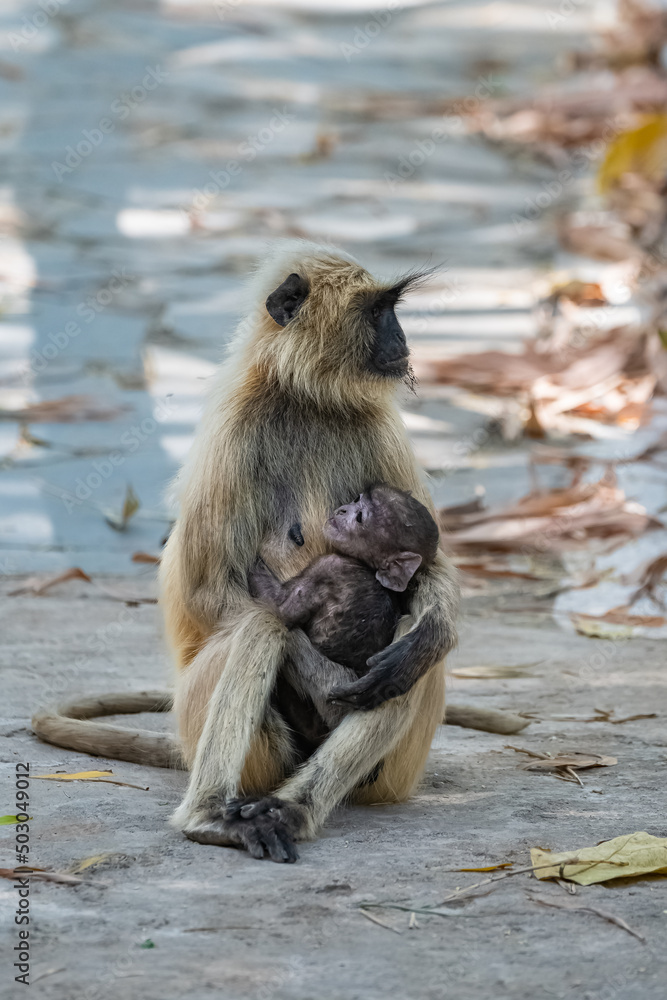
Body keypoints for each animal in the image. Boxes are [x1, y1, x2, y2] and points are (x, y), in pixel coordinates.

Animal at [248, 484, 441, 731]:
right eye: (357, 500)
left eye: (359, 518)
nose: (342, 510)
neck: (367, 567)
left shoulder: (329, 566)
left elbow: (279, 609)